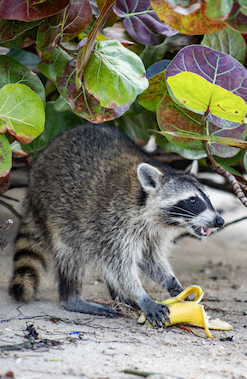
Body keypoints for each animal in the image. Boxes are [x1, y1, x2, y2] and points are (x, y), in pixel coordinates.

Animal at [8, 124, 224, 326]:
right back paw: (72, 297)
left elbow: (150, 259)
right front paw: (142, 296)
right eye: (193, 201)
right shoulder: (113, 224)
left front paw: (171, 282)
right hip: (56, 212)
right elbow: (120, 266)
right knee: (71, 254)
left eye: (207, 198)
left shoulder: (152, 234)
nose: (219, 221)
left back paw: (120, 298)